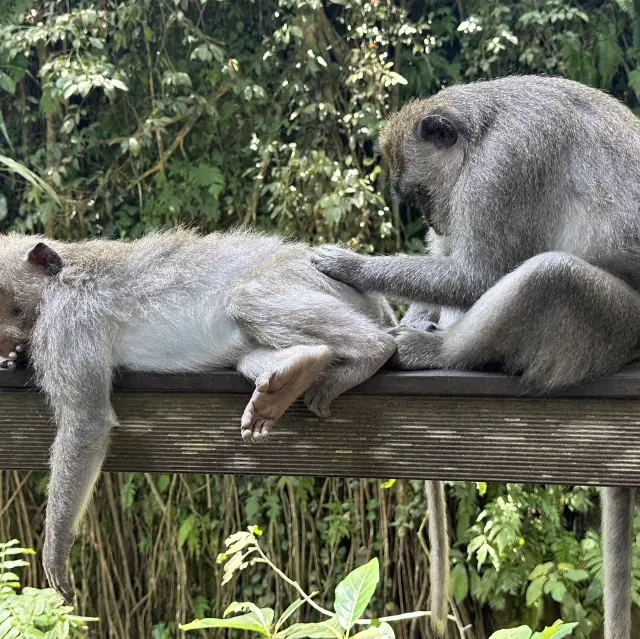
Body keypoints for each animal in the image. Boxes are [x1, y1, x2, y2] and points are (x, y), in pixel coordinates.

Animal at [0, 229, 398, 604]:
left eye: (2, 301)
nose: (3, 344)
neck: (55, 280)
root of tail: (377, 301)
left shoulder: (66, 321)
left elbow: (86, 422)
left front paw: (55, 549)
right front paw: (13, 358)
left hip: (310, 278)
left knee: (249, 297)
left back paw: (373, 350)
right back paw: (297, 369)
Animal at [312, 76, 640, 639]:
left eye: (419, 194)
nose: (434, 219)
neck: (480, 130)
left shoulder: (500, 173)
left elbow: (478, 274)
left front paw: (351, 265)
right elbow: (454, 263)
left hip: (615, 327)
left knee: (550, 275)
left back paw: (433, 349)